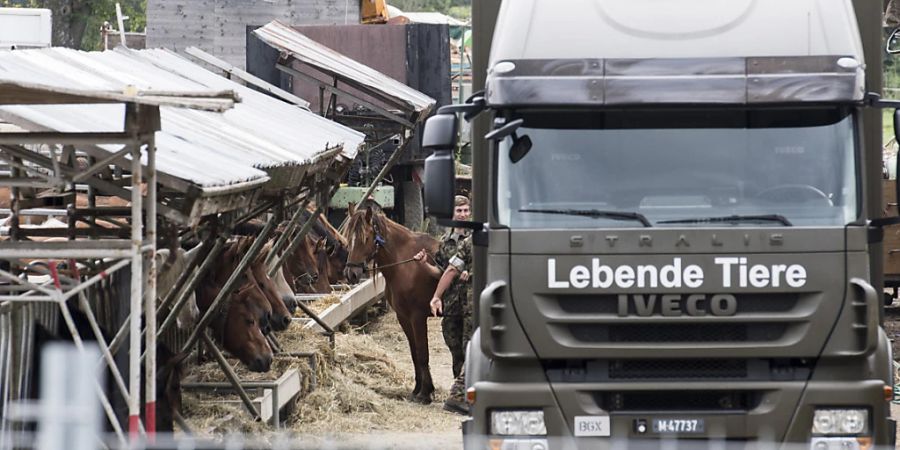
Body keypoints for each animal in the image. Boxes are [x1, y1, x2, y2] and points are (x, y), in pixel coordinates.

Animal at [344, 207, 440, 400]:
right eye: (349, 237)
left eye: (366, 238)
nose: (351, 273)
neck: (407, 264)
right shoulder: (404, 317)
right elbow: (414, 353)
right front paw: (417, 389)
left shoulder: (418, 317)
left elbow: (422, 353)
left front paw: (425, 393)